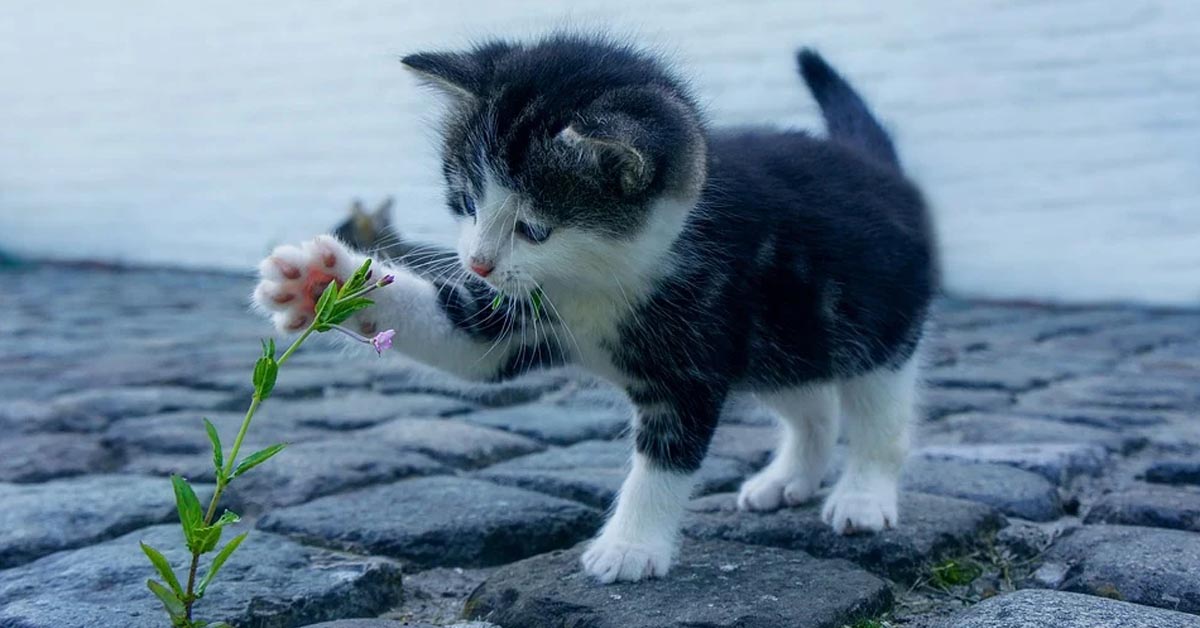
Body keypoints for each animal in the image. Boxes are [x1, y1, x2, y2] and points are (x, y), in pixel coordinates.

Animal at [253, 34, 936, 585]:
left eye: (534, 228)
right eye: (466, 201)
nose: (477, 263)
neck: (599, 278)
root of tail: (878, 167)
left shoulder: (695, 351)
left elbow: (665, 458)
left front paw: (630, 547)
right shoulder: (517, 315)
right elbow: (464, 340)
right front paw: (322, 281)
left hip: (876, 325)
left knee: (878, 416)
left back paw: (863, 496)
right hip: (782, 340)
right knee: (812, 403)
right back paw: (788, 478)